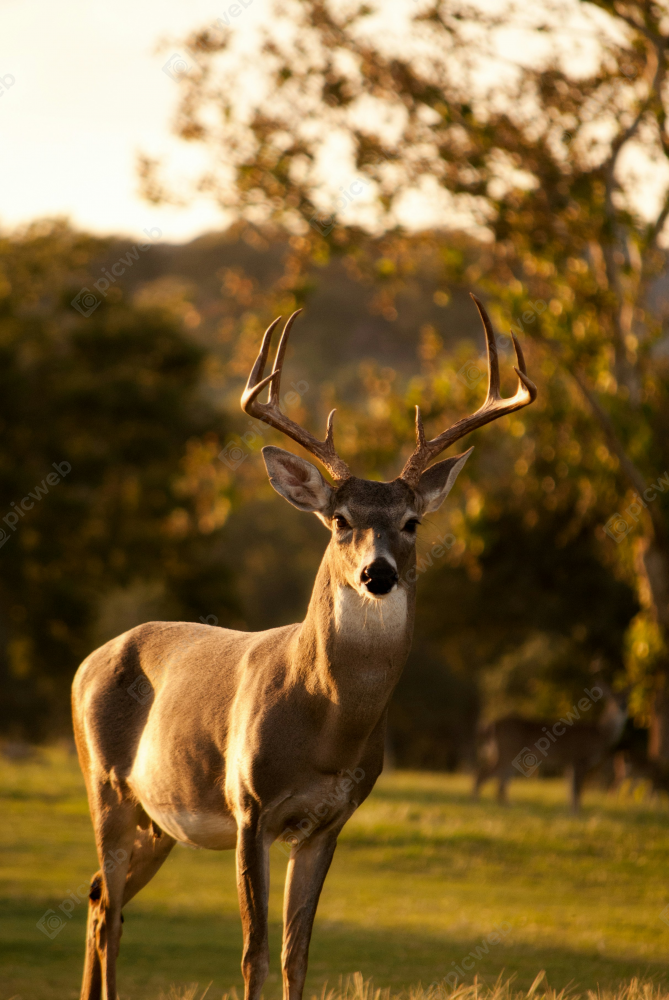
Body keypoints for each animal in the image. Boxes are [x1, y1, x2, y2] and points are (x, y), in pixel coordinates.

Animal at [70, 294, 536, 1000]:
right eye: (340, 520)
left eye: (411, 522)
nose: (378, 573)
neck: (325, 724)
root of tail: (87, 662)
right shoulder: (250, 807)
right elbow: (253, 953)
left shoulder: (327, 823)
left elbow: (297, 954)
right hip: (105, 784)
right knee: (108, 906)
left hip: (158, 818)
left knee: (102, 899)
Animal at [472, 680, 624, 812]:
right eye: (611, 700)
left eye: (625, 697)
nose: (622, 707)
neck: (600, 734)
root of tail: (490, 726)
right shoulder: (579, 758)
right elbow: (577, 789)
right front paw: (577, 813)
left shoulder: (570, 762)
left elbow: (570, 788)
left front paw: (571, 811)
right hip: (507, 751)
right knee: (484, 774)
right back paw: (476, 802)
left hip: (507, 755)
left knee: (500, 782)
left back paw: (506, 806)